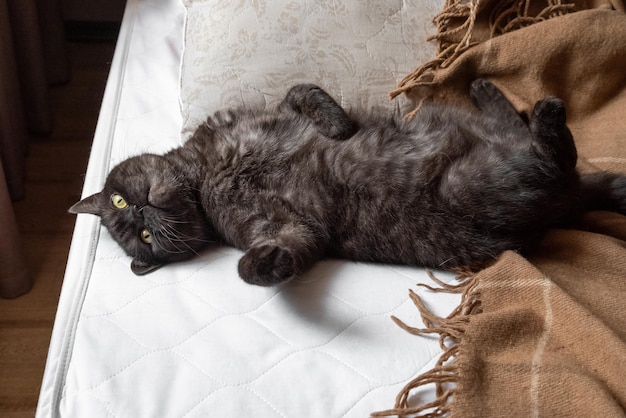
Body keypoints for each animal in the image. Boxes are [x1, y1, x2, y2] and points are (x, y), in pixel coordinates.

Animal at [69, 79, 624, 286]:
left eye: (119, 199)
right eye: (143, 237)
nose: (141, 210)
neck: (207, 174)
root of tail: (564, 204)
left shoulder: (274, 110)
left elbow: (305, 91)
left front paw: (337, 126)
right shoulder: (287, 229)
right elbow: (274, 254)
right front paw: (263, 266)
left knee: (522, 128)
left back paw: (486, 86)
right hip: (482, 180)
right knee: (553, 153)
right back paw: (544, 114)